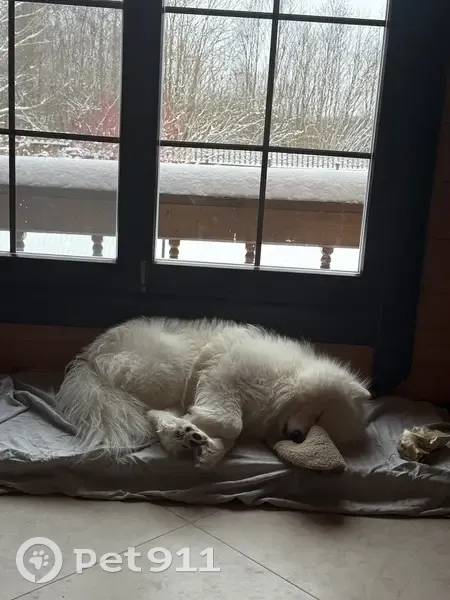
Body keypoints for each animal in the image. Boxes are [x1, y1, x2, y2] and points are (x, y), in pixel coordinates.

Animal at [56, 317, 370, 468]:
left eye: (322, 427)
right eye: (320, 414)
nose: (298, 437)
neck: (284, 379)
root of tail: (90, 358)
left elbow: (229, 435)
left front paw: (208, 449)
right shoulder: (222, 378)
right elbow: (231, 424)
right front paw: (202, 429)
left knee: (154, 413)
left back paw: (182, 435)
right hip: (170, 368)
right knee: (145, 409)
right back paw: (184, 431)